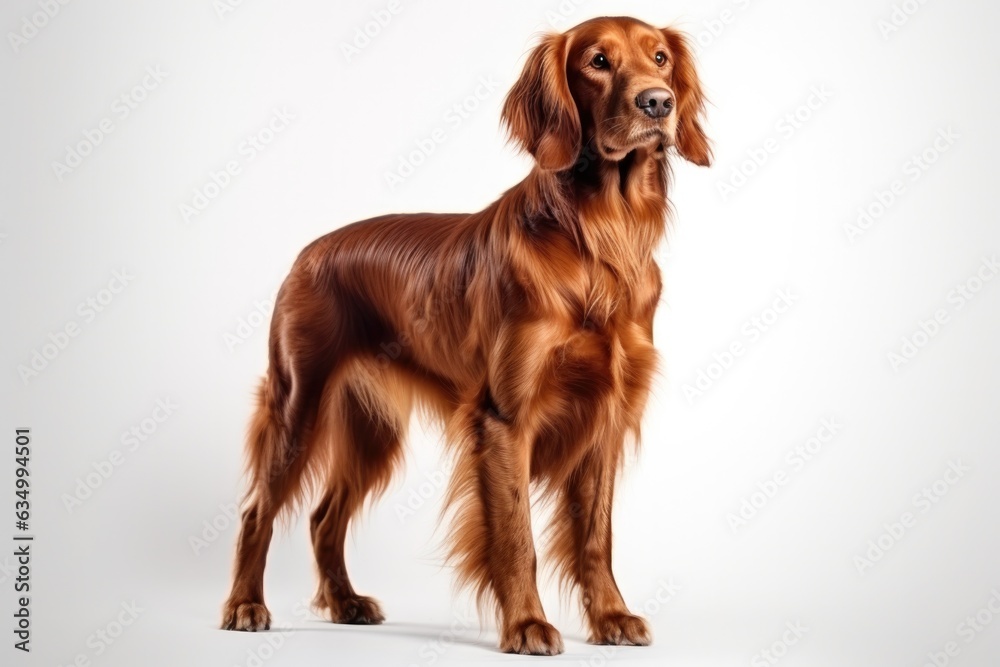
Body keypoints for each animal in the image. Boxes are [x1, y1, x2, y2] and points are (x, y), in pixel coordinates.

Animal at [225, 15, 712, 656]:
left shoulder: (604, 418)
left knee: (323, 516)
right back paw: (245, 605)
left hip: (372, 431)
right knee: (257, 510)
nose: (657, 102)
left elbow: (595, 536)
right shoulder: (504, 419)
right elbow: (516, 536)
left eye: (660, 58)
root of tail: (310, 252)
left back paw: (346, 602)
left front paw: (611, 616)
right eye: (598, 61)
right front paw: (527, 624)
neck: (601, 237)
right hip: (298, 404)